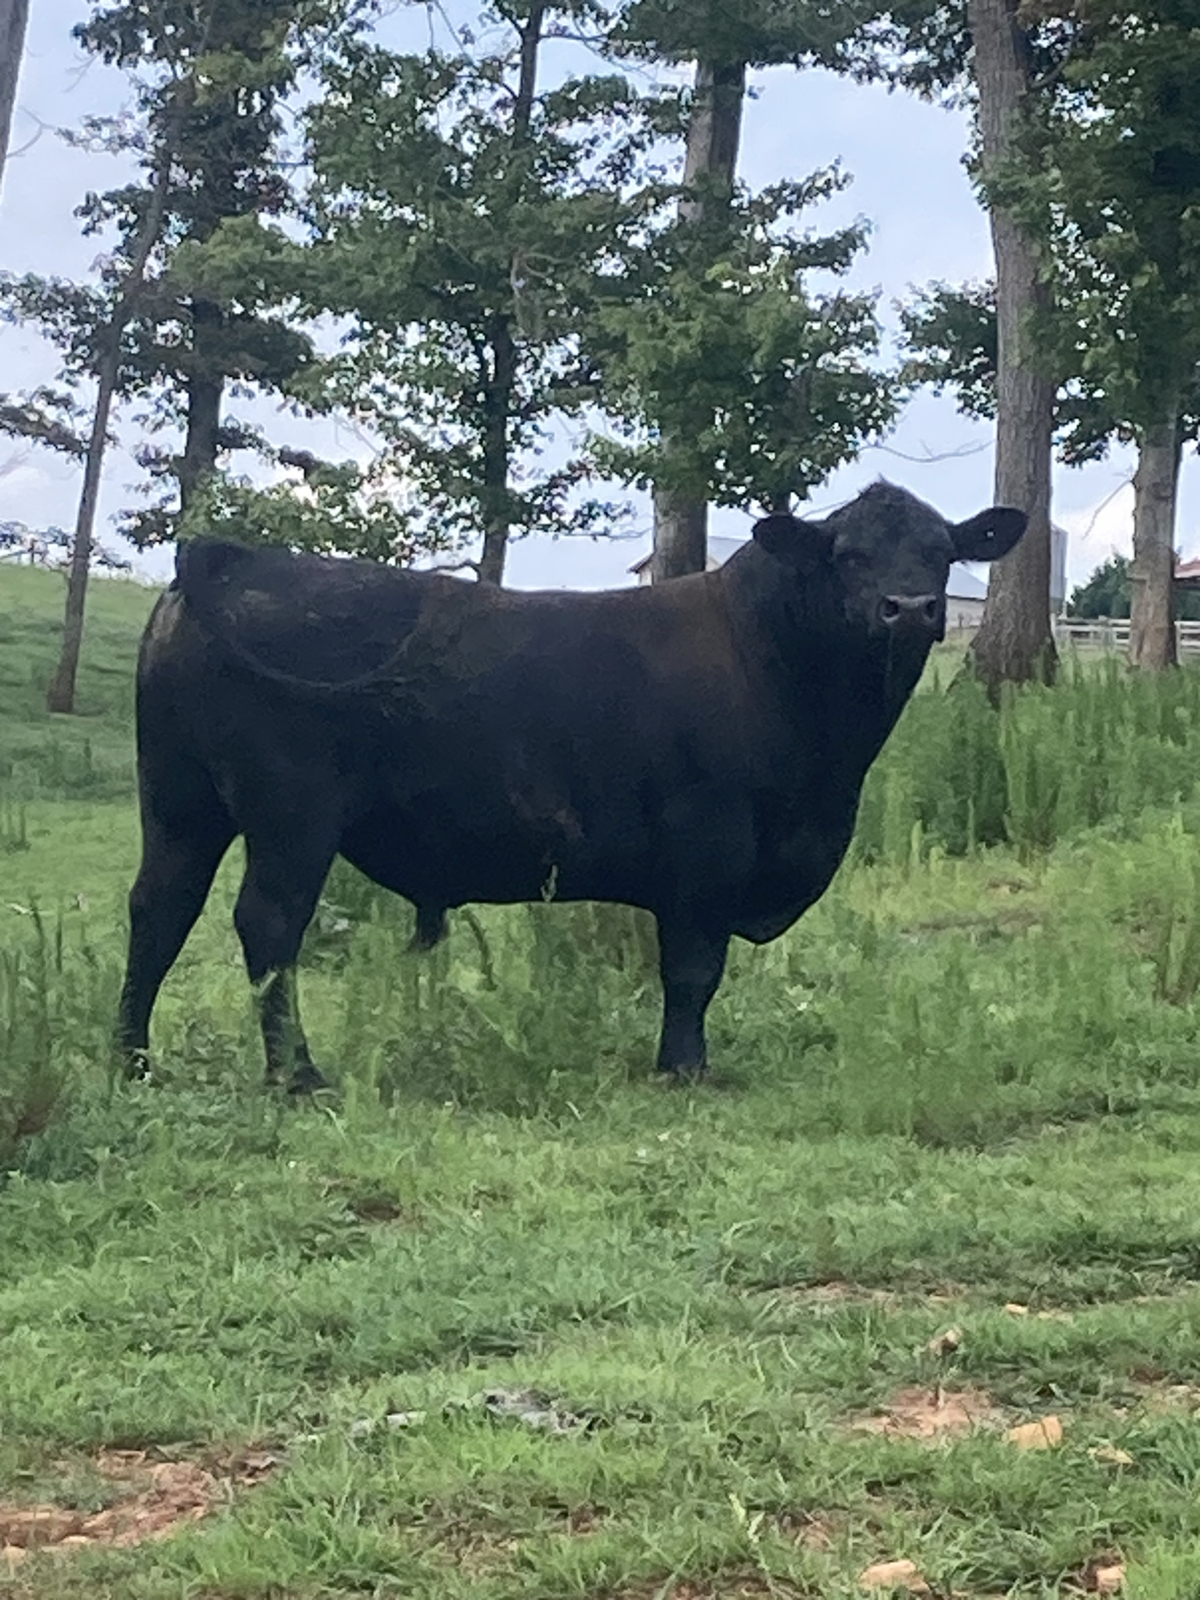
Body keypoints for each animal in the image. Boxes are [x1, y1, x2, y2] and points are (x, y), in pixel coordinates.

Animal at [116, 482, 1025, 1093]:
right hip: (291, 814)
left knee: (159, 910)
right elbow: (693, 969)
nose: (910, 608)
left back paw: (132, 1060)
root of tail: (230, 556)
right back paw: (296, 1076)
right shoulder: (708, 845)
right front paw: (684, 1068)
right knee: (267, 925)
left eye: (942, 551)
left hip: (179, 803)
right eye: (847, 555)